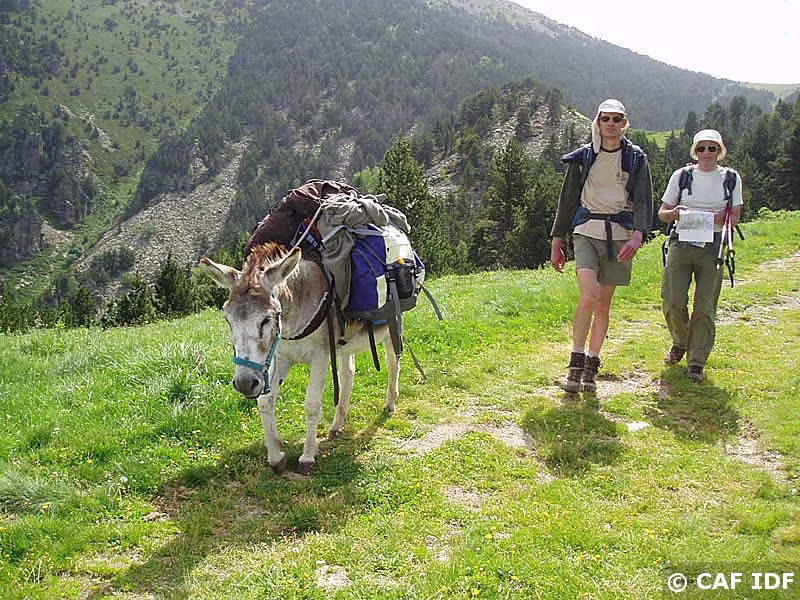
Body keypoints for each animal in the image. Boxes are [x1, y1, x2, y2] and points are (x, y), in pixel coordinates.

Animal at [199, 242, 399, 474]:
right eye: (227, 319)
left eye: (266, 319)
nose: (245, 383)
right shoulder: (281, 357)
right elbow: (265, 402)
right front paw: (275, 455)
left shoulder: (320, 357)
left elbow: (311, 406)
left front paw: (307, 457)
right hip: (343, 346)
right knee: (348, 373)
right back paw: (337, 425)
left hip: (391, 328)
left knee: (393, 364)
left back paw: (390, 404)